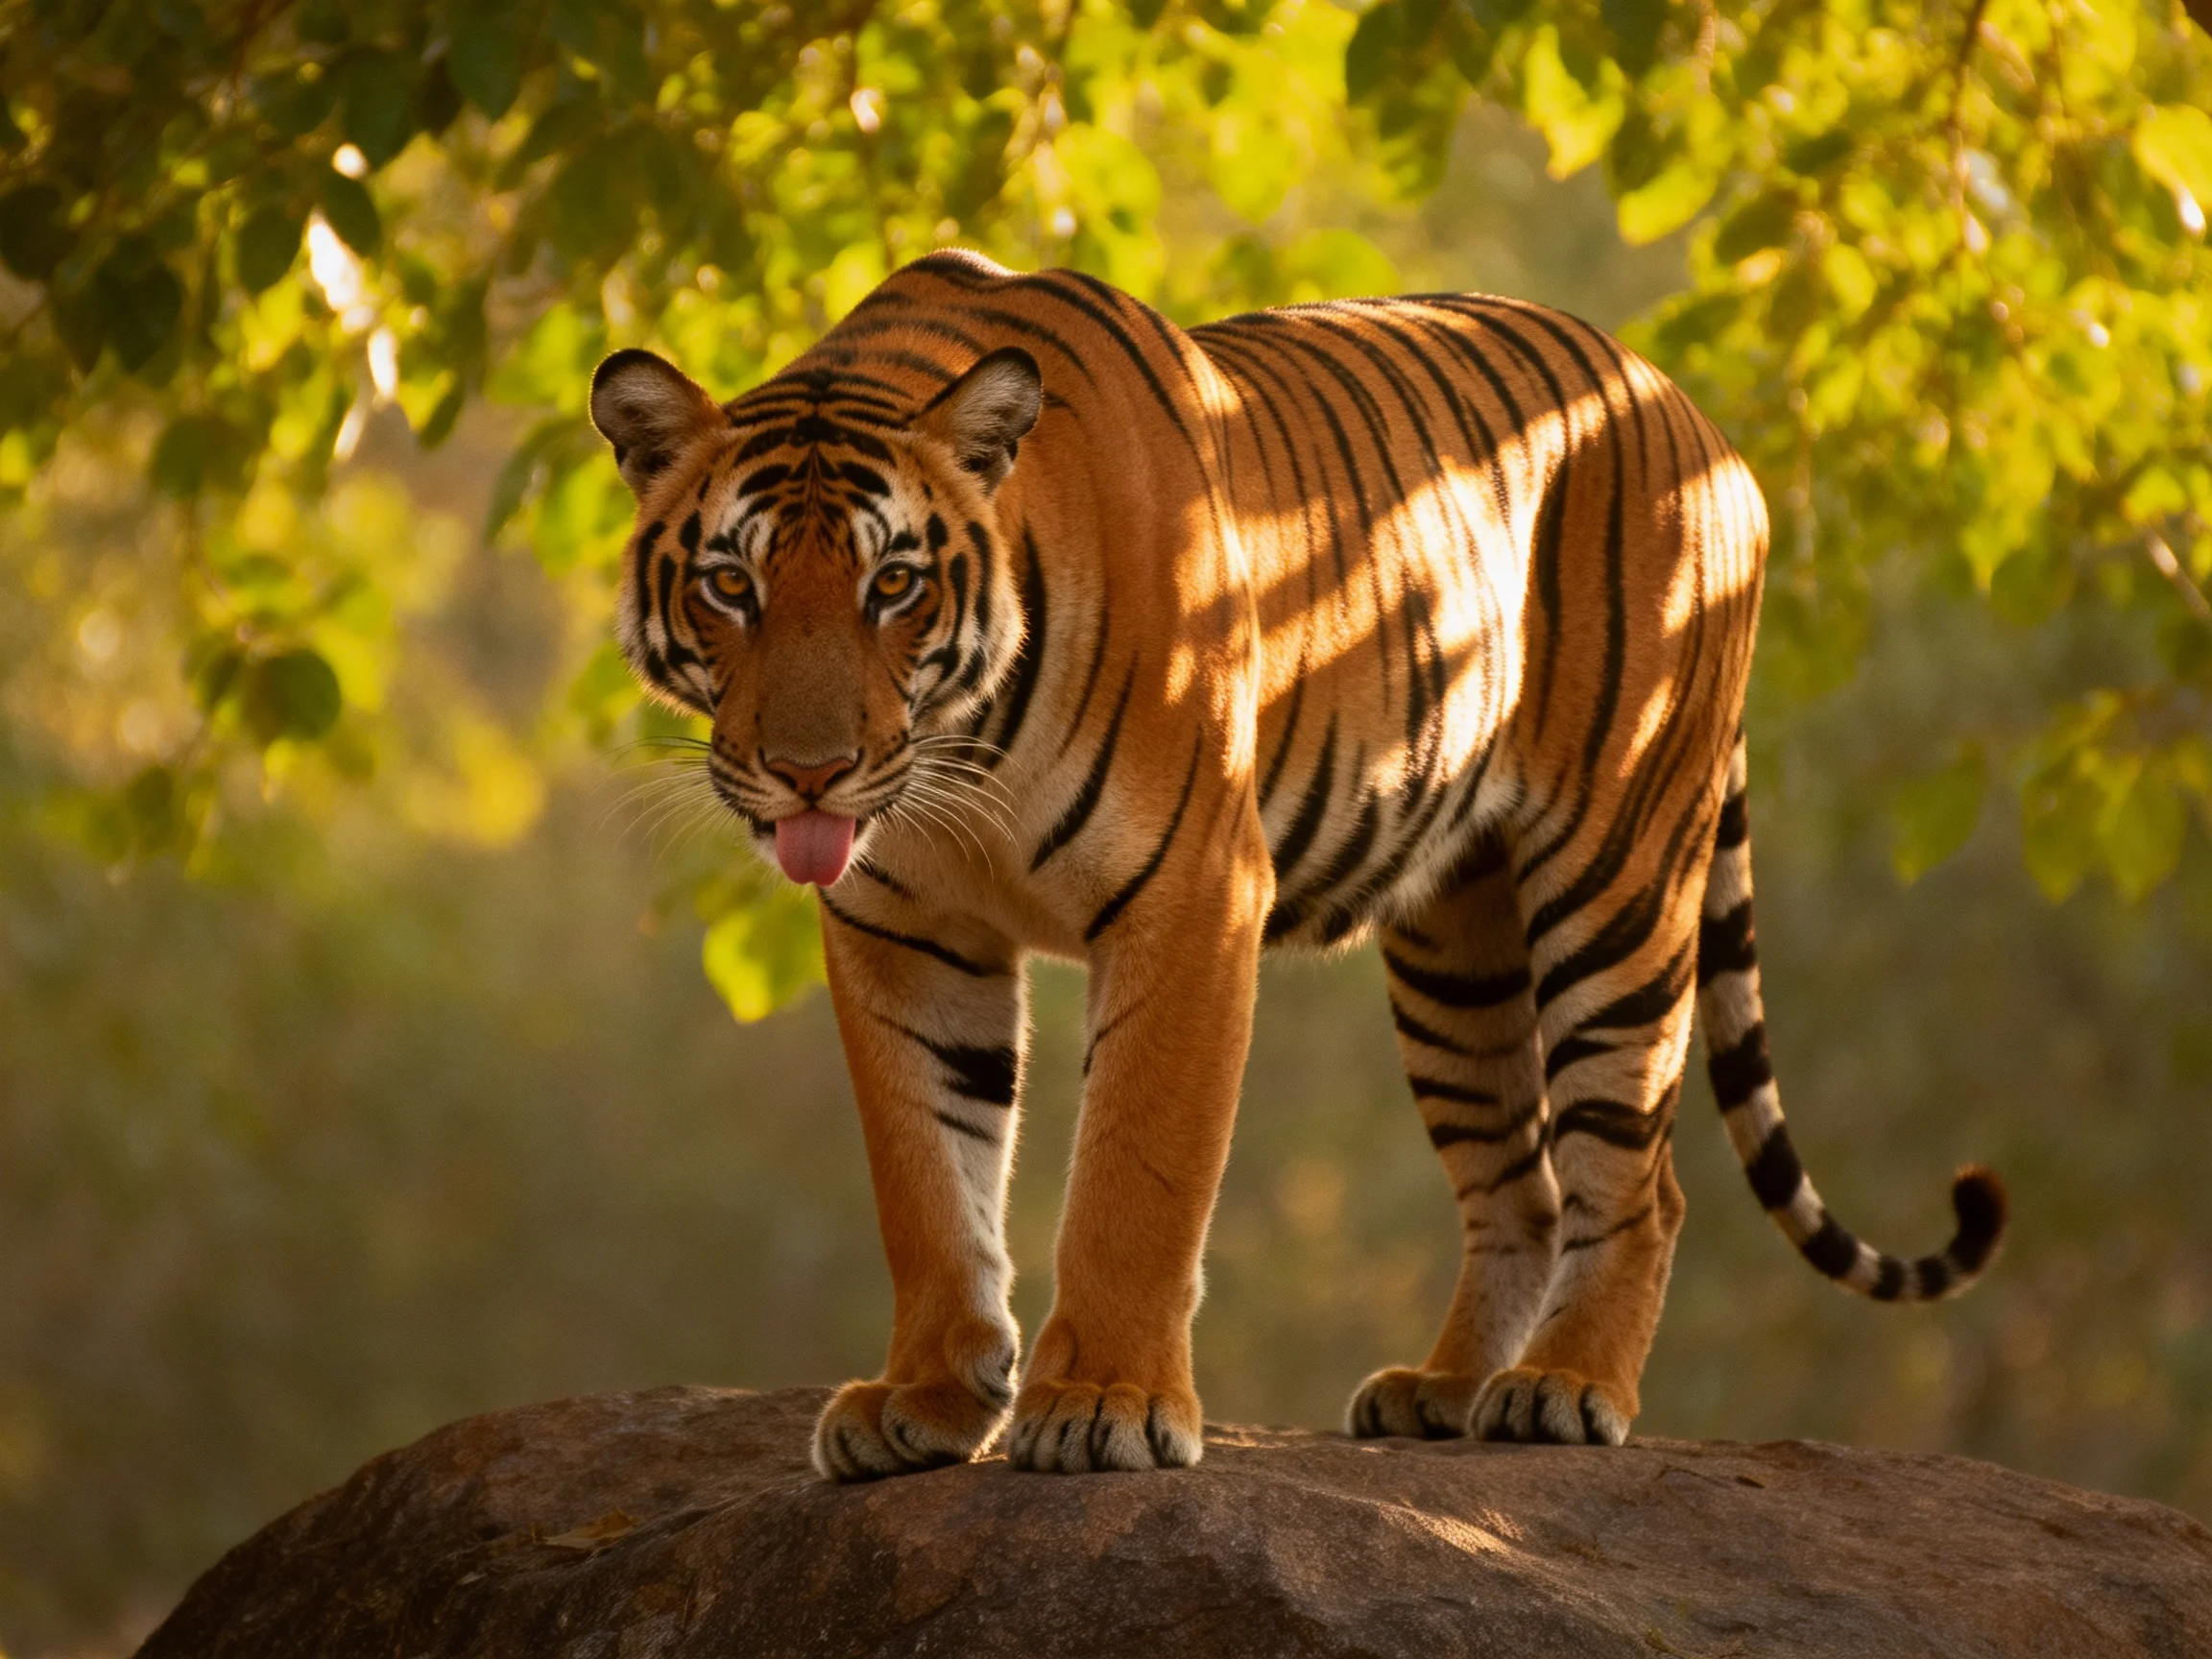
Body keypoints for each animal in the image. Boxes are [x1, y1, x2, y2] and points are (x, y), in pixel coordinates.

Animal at [587, 248, 2005, 1479]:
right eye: (730, 584)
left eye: (893, 585)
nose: (810, 772)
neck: (955, 759)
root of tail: (1696, 418)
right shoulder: (904, 929)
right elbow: (928, 1176)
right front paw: (928, 1400)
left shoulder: (1191, 894)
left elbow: (1136, 1172)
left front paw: (1103, 1404)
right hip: (1455, 942)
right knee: (1524, 1185)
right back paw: (1445, 1391)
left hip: (1618, 875)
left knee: (1638, 1177)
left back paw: (1565, 1388)